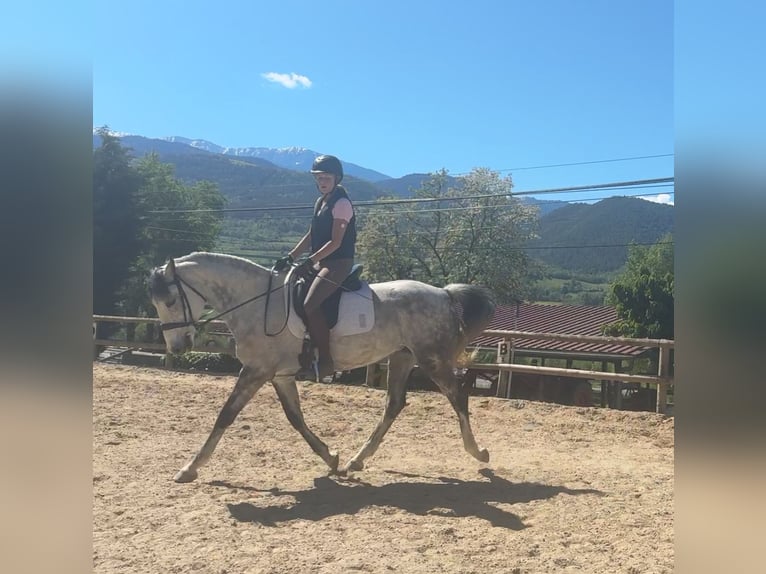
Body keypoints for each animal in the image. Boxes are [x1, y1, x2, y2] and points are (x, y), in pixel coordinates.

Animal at [149, 254, 498, 484]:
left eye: (170, 300)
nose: (177, 347)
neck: (257, 304)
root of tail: (443, 293)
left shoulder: (256, 371)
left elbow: (225, 415)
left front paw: (190, 467)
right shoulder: (280, 375)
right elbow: (296, 418)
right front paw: (332, 459)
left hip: (431, 359)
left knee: (458, 397)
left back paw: (479, 452)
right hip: (401, 358)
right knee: (394, 404)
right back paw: (357, 460)